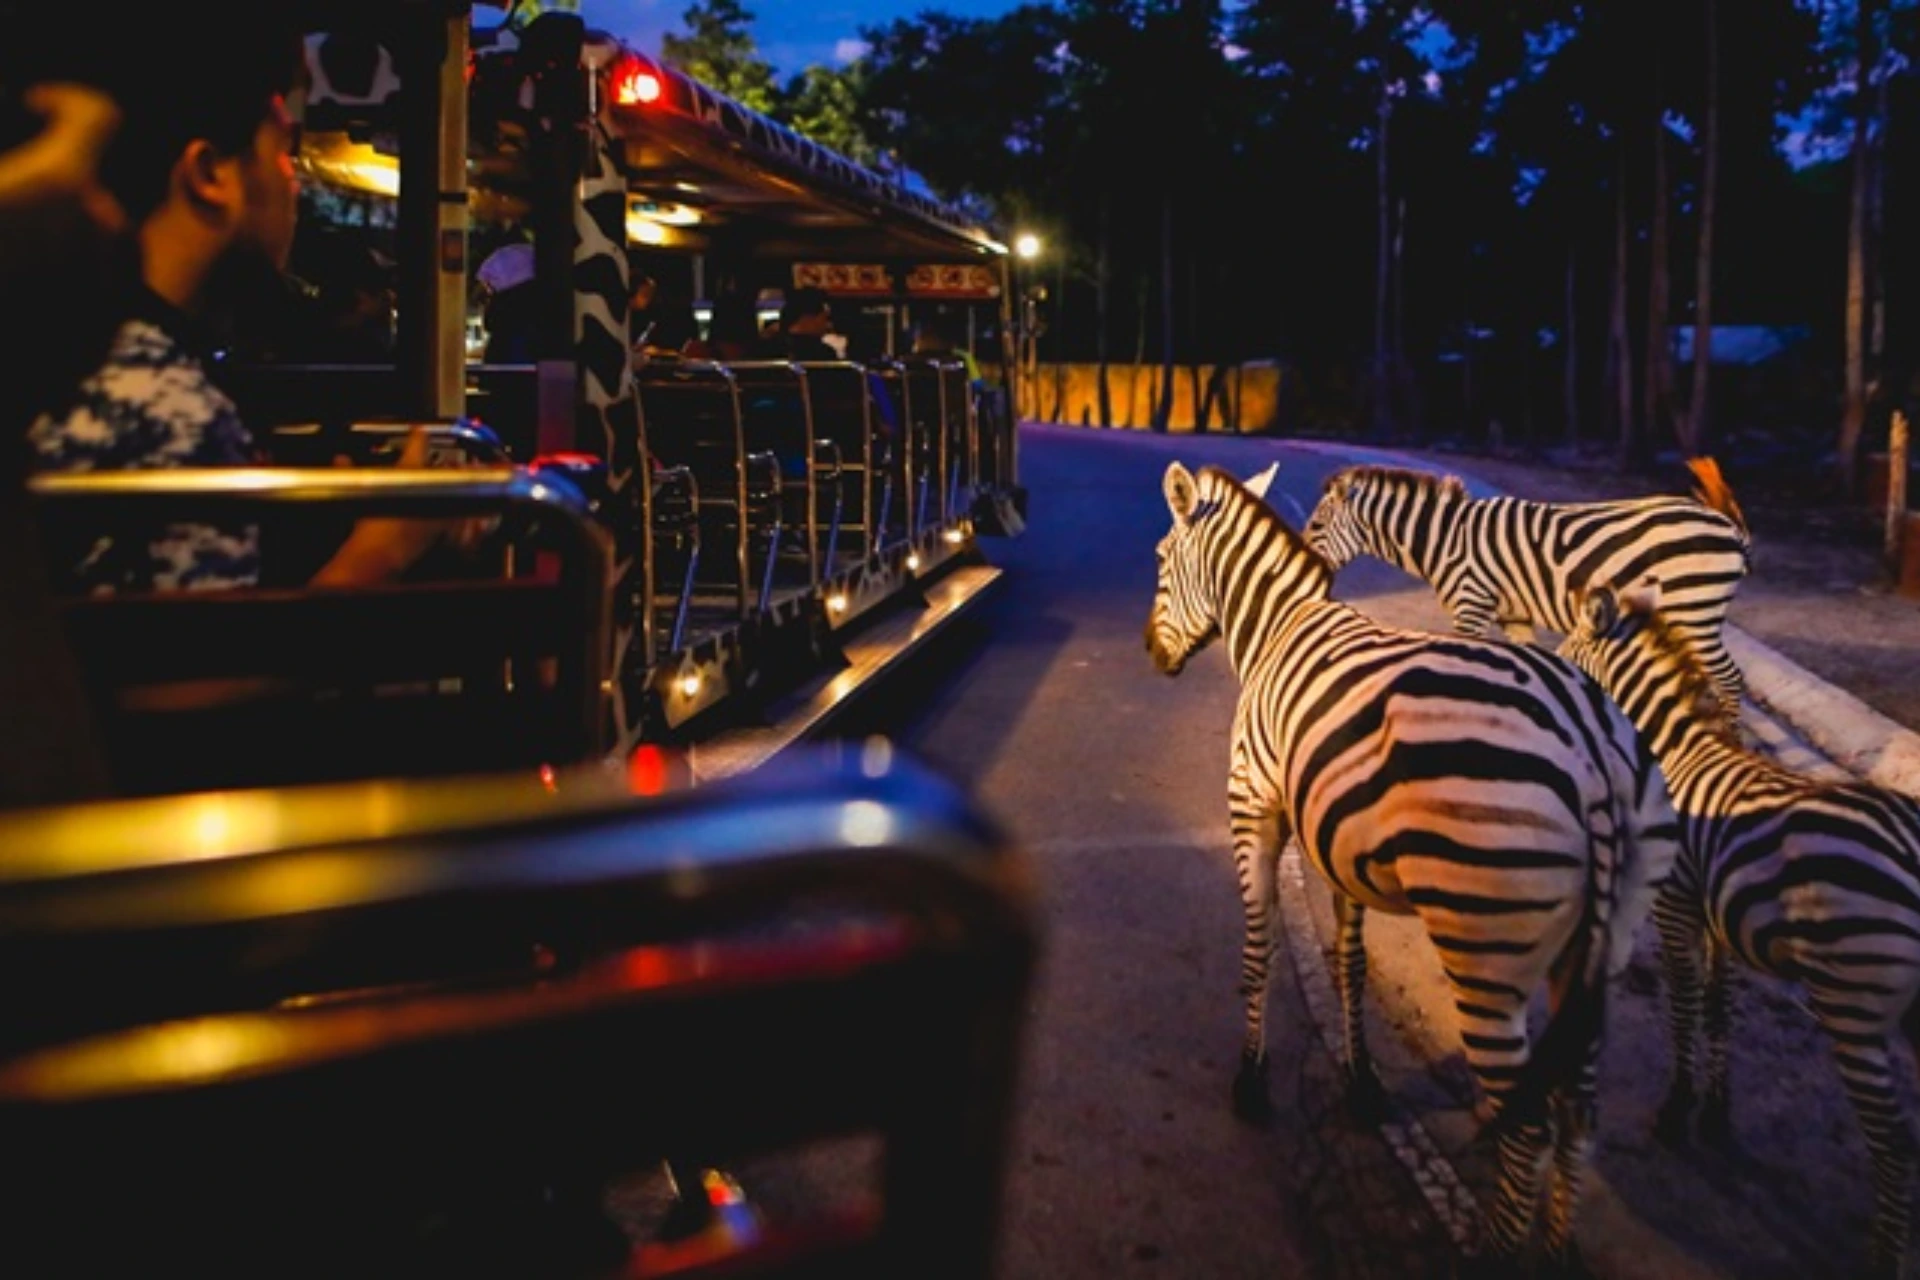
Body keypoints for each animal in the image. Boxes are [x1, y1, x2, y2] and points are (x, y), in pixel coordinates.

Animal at [1146, 461, 1678, 1269]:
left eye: (1156, 560)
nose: (1153, 656)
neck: (1276, 630)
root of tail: (1594, 751)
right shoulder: (1343, 843)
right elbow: (1350, 960)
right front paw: (1362, 1080)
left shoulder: (1254, 806)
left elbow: (1258, 947)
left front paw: (1252, 1077)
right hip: (1594, 949)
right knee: (1577, 1111)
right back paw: (1556, 1252)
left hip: (1485, 944)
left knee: (1525, 1126)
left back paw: (1491, 1254)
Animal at [1301, 458, 1752, 717]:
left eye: (1316, 525)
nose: (1305, 562)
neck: (1446, 539)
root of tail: (1728, 526)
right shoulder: (1512, 615)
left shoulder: (1472, 603)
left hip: (1695, 612)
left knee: (1730, 679)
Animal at [1560, 577, 1920, 1279]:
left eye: (1567, 653)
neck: (1675, 750)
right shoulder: (1716, 918)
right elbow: (1718, 1006)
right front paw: (1716, 1114)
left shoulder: (1673, 902)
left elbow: (1682, 1003)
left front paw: (1675, 1111)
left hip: (1854, 1000)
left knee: (1894, 1141)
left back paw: (1883, 1258)